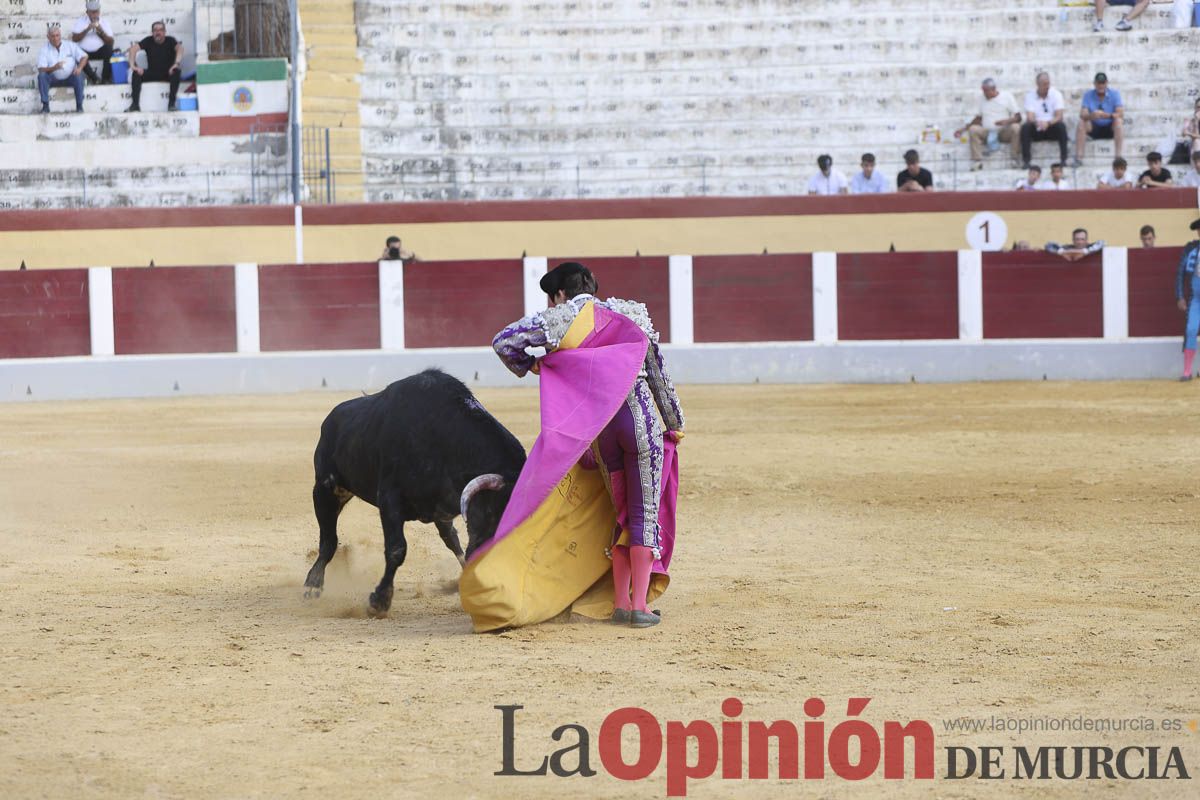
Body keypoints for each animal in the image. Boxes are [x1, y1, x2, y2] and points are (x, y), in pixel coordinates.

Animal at [302, 371, 523, 618]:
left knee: (451, 538)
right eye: (497, 514)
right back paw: (313, 585)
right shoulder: (389, 500)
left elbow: (454, 542)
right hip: (325, 490)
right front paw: (379, 601)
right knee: (328, 540)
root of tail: (330, 420)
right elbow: (397, 548)